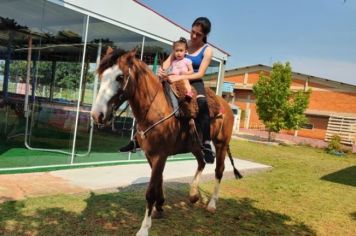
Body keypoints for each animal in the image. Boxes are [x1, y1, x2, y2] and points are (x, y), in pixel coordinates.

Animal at [92, 48, 242, 236]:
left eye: (120, 77)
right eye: (101, 74)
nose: (97, 115)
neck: (155, 108)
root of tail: (226, 105)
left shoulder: (160, 155)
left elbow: (150, 191)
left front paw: (144, 228)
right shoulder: (151, 155)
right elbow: (159, 181)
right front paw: (160, 206)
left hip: (221, 144)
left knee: (219, 170)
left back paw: (212, 204)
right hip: (195, 145)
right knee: (201, 162)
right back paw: (193, 194)